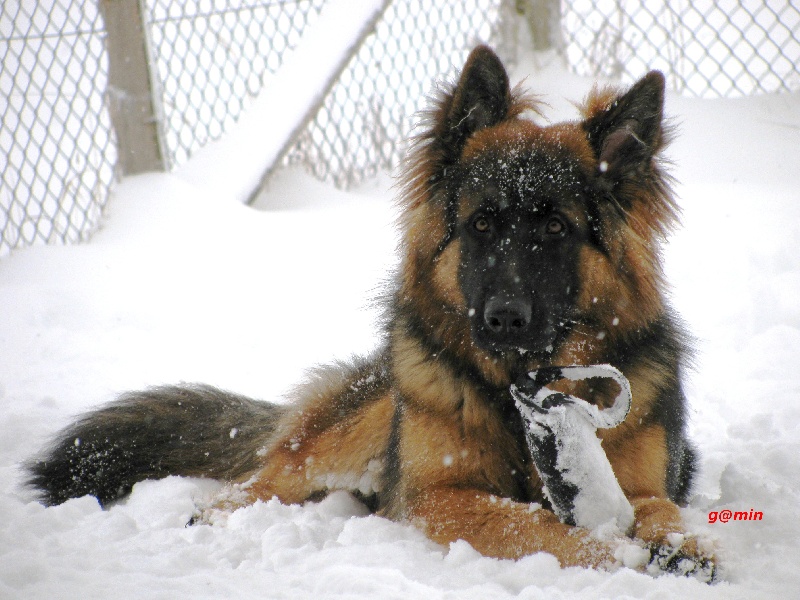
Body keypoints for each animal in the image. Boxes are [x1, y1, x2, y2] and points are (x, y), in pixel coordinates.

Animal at [26, 45, 712, 576]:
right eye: (482, 225)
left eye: (554, 230)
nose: (503, 318)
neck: (518, 390)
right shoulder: (441, 494)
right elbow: (536, 527)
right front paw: (617, 561)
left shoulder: (641, 481)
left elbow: (658, 510)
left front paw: (680, 548)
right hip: (361, 427)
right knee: (267, 475)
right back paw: (218, 515)